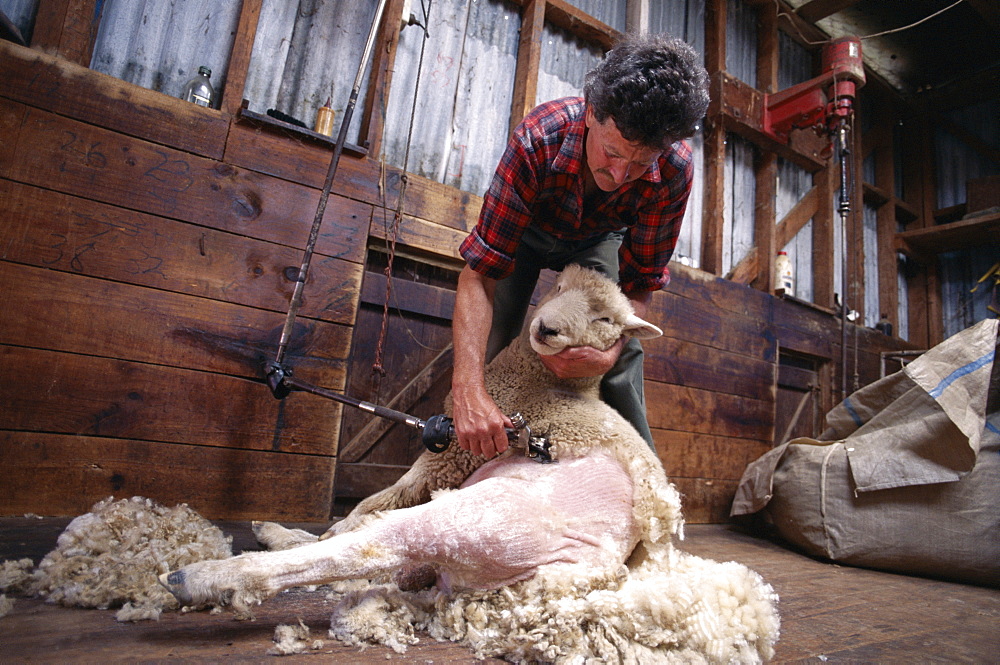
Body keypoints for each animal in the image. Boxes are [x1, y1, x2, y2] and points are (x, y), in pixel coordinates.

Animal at [162, 266, 780, 664]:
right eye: (557, 288)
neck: (547, 386)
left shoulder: (451, 455)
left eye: (606, 318)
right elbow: (366, 508)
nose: (547, 328)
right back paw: (272, 532)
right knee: (374, 555)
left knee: (363, 546)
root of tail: (591, 579)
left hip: (479, 519)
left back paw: (201, 576)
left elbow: (376, 503)